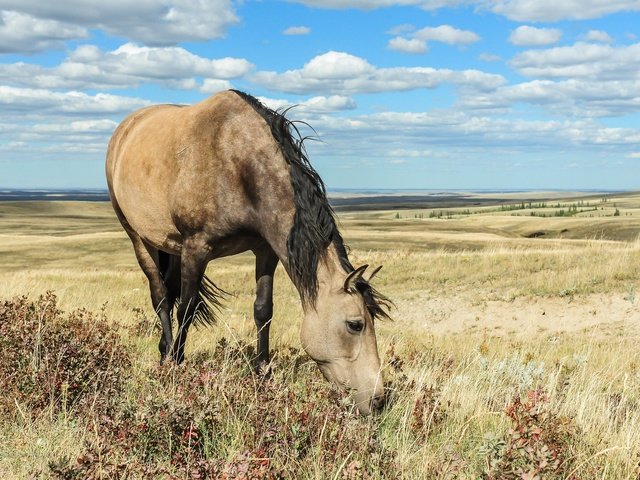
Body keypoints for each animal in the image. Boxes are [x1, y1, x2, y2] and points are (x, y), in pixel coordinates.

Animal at [105, 89, 390, 412]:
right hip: (138, 237)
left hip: (170, 245)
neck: (238, 162)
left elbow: (263, 310)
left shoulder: (266, 250)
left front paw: (263, 374)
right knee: (161, 297)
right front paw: (178, 367)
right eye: (355, 325)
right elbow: (186, 310)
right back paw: (167, 355)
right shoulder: (196, 249)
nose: (378, 400)